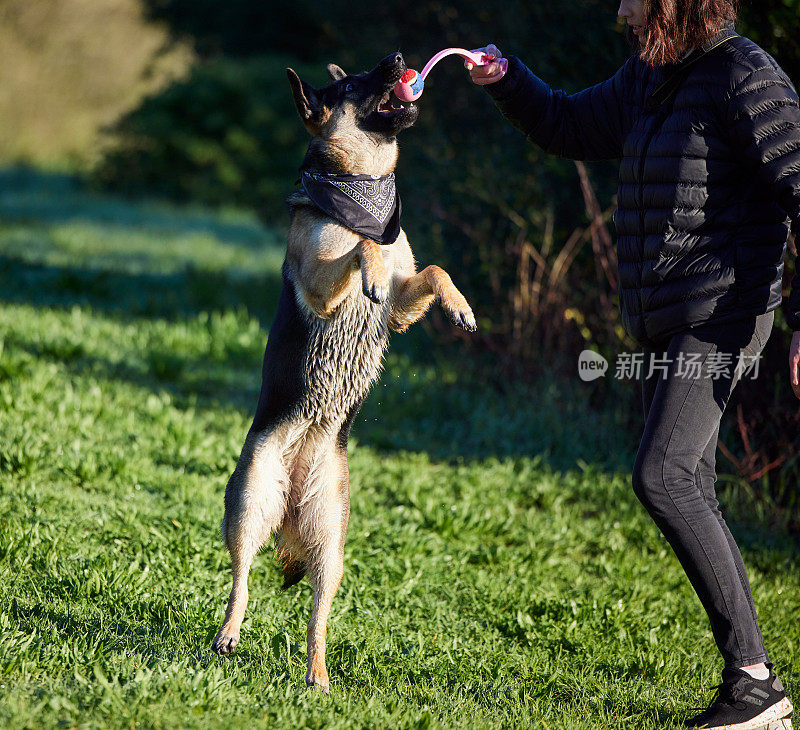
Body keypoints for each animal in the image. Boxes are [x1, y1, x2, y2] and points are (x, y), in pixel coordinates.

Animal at [211, 51, 476, 688]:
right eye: (354, 83)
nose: (400, 58)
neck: (361, 190)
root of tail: (290, 498)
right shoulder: (319, 284)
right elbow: (361, 250)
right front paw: (369, 266)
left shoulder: (402, 304)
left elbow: (430, 269)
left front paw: (459, 305)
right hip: (249, 504)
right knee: (241, 577)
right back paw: (229, 634)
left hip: (331, 546)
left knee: (317, 615)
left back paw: (318, 675)